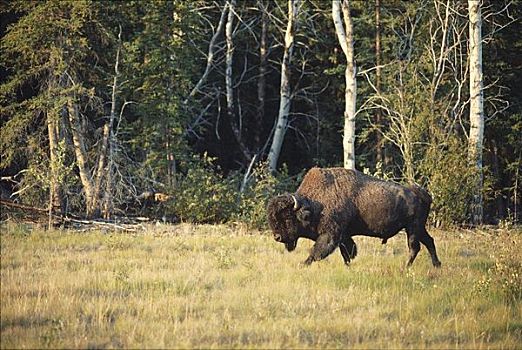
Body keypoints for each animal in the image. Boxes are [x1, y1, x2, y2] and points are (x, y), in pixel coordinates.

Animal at [266, 167, 440, 268]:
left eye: (287, 218)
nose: (277, 237)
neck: (314, 204)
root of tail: (421, 193)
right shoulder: (344, 236)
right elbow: (347, 252)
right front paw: (347, 266)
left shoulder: (331, 234)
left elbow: (316, 251)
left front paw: (303, 265)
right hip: (418, 228)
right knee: (429, 242)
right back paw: (437, 265)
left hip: (413, 228)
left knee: (414, 247)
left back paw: (405, 267)